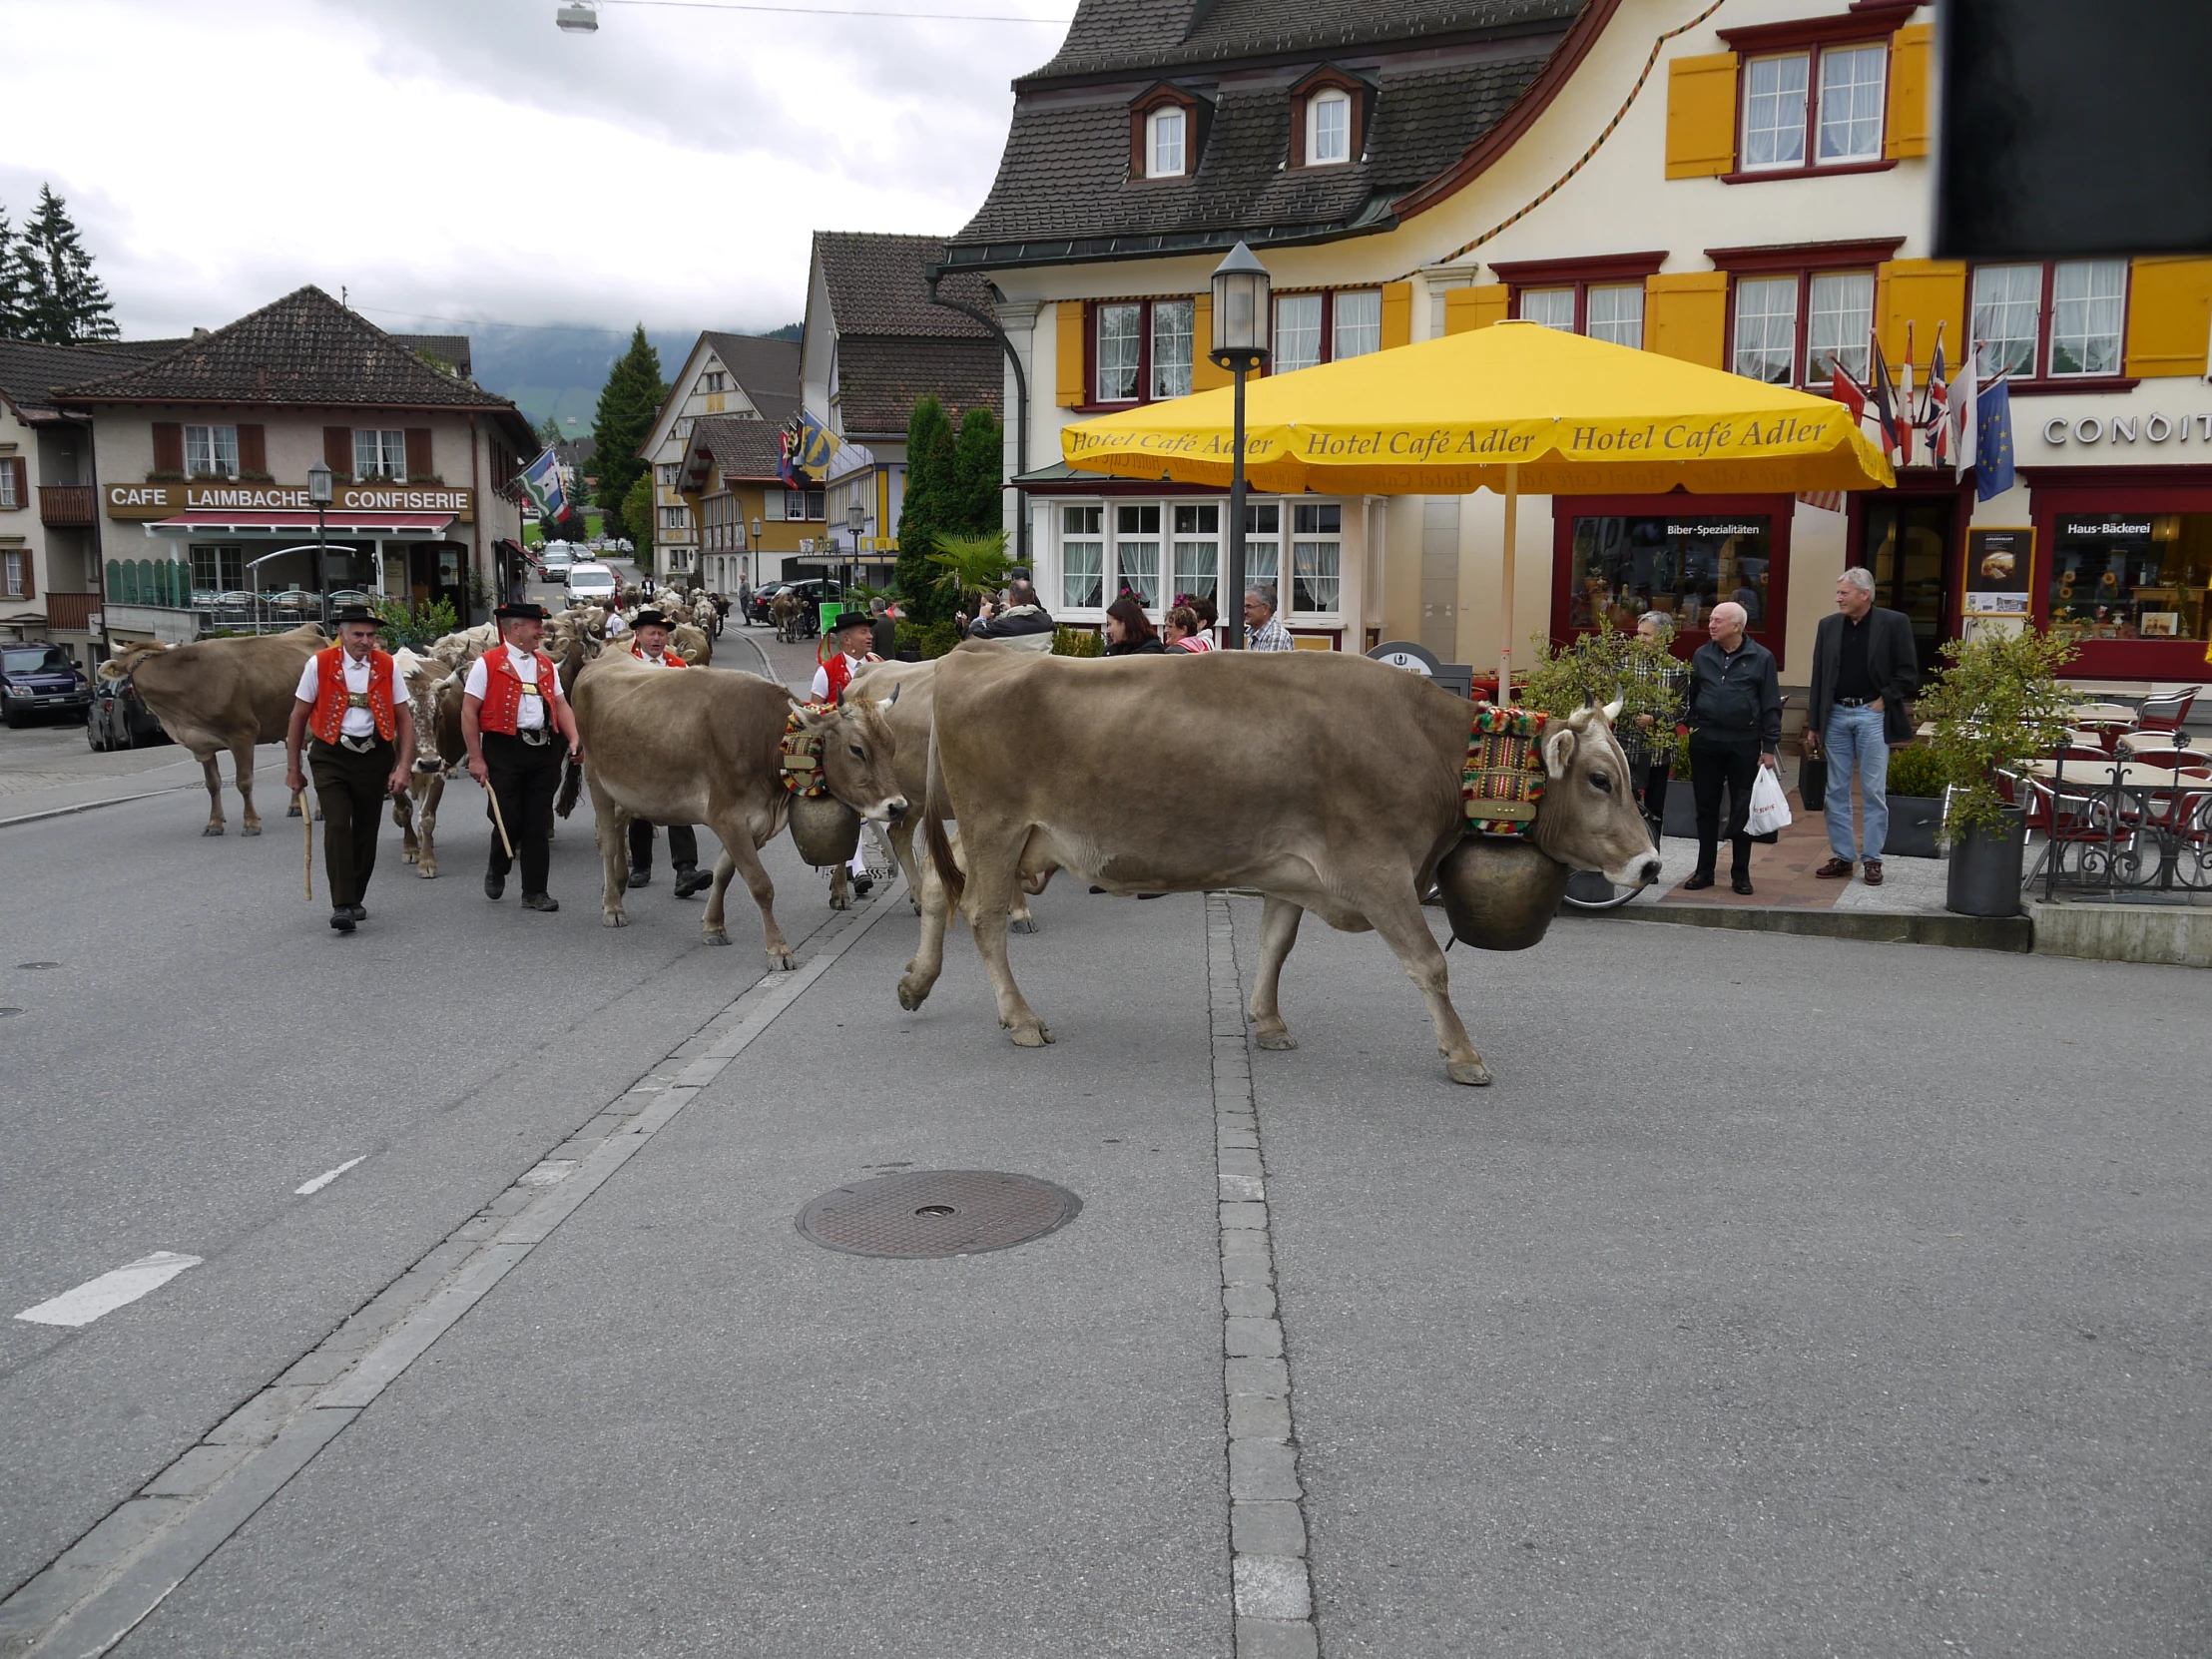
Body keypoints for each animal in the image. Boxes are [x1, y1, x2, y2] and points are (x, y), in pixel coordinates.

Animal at [104, 623, 322, 835]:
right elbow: (212, 784)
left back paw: (319, 811)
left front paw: (251, 823)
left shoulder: (243, 733)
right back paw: (296, 807)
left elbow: (243, 781)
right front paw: (214, 824)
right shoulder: (202, 742)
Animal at [579, 646, 915, 968]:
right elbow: (759, 884)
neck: (764, 738)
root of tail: (603, 656)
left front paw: (713, 927)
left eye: (892, 745)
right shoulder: (729, 818)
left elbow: (723, 872)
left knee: (620, 825)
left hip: (629, 791)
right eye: (856, 749)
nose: (897, 806)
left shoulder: (754, 823)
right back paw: (613, 906)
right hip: (596, 780)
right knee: (608, 842)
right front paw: (778, 950)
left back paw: (617, 885)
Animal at [910, 650, 1663, 1092]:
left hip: (995, 834)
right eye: (1600, 779)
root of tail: (974, 652)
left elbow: (1276, 944)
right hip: (996, 825)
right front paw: (1463, 1054)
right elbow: (1429, 963)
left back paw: (916, 982)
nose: (1652, 863)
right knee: (981, 915)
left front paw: (1267, 1022)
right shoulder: (1377, 870)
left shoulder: (1290, 871)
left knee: (937, 886)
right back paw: (1020, 1017)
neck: (1428, 746)